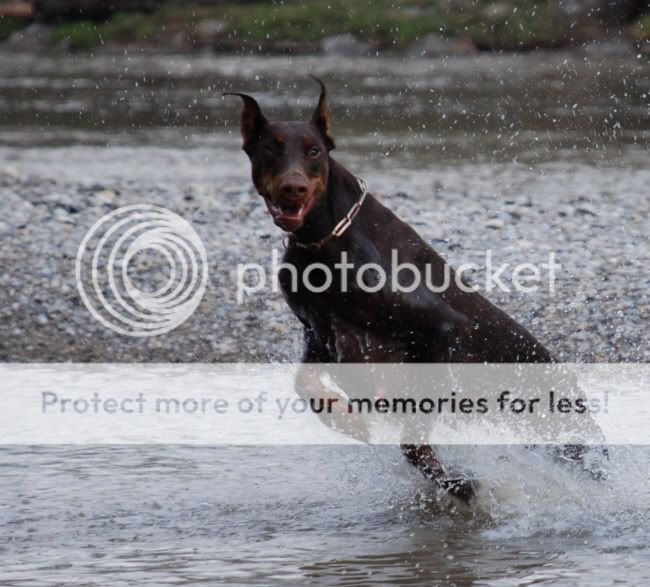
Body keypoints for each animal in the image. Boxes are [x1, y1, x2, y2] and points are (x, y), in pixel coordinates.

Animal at [225, 78, 604, 500]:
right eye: (270, 148)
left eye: (313, 151)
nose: (293, 188)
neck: (322, 240)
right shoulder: (319, 334)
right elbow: (304, 384)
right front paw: (347, 420)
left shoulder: (440, 327)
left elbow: (413, 438)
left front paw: (455, 483)